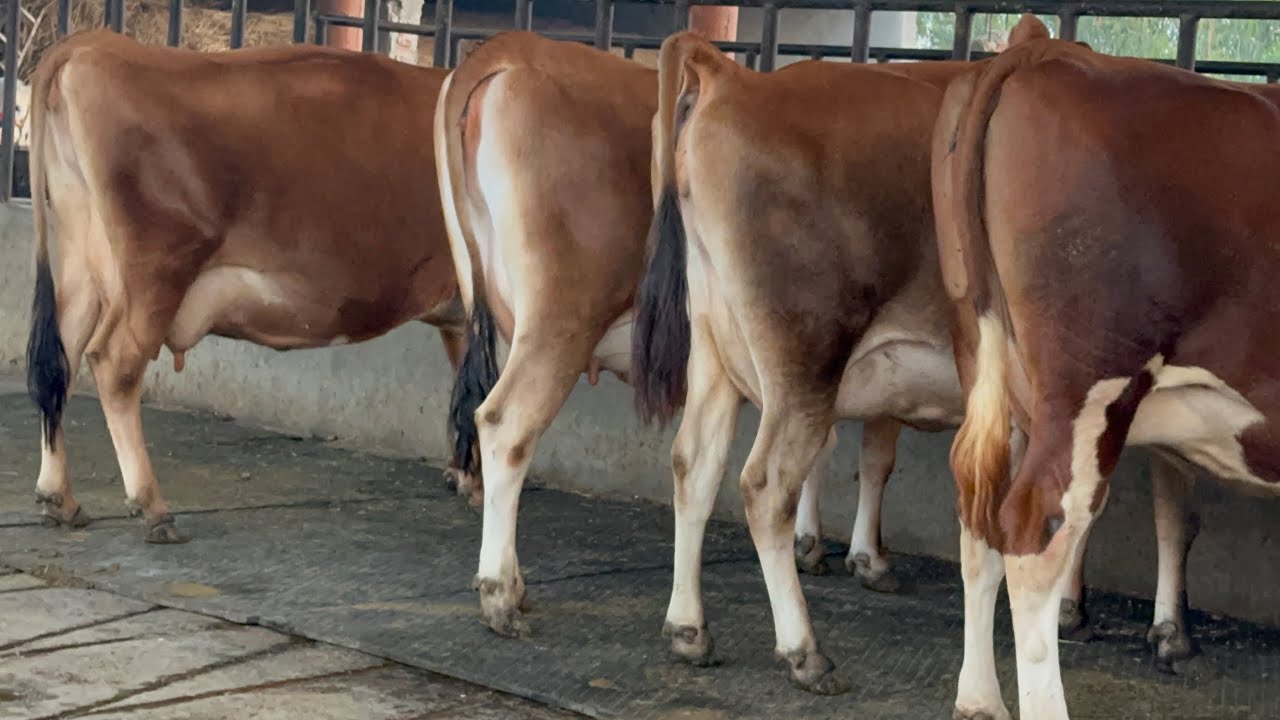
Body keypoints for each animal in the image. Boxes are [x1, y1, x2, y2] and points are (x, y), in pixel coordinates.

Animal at [25, 29, 465, 544]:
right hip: (155, 273)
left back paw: (58, 497)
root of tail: (94, 44)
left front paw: (463, 473)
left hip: (83, 260)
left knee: (63, 355)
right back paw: (153, 507)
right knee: (114, 364)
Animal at [629, 18, 1059, 693]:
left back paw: (688, 629)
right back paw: (804, 650)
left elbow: (878, 460)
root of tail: (736, 79)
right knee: (765, 483)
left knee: (693, 464)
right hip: (804, 354)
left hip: (715, 347)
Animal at [933, 34, 1280, 720]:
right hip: (1089, 380)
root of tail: (1045, 50)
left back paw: (979, 700)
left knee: (979, 518)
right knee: (1035, 530)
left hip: (994, 371)